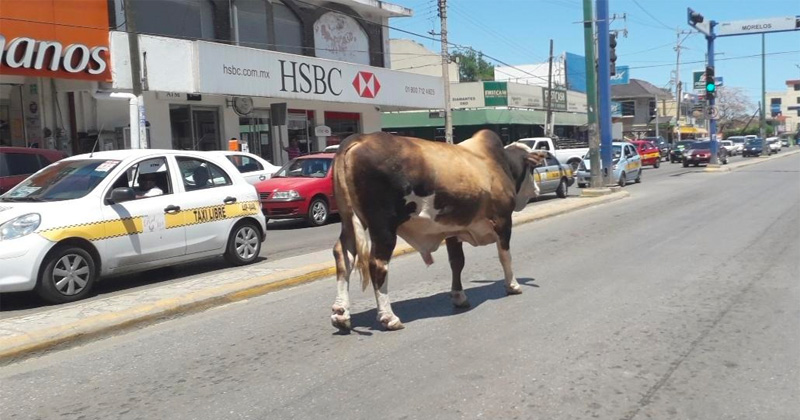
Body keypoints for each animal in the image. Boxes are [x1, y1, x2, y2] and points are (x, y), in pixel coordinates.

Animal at [331, 130, 546, 331]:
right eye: (533, 167)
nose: (537, 189)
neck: (499, 164)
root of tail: (359, 138)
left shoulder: (453, 228)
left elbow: (457, 262)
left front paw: (459, 296)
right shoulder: (503, 221)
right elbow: (505, 257)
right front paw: (512, 285)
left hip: (349, 220)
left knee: (343, 256)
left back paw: (341, 313)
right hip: (383, 226)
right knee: (377, 264)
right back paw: (388, 317)